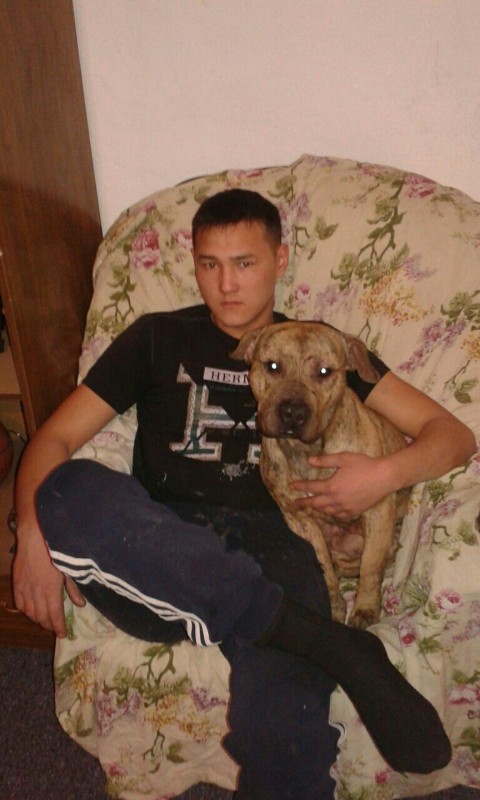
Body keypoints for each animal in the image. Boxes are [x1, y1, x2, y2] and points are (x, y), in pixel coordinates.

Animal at [231, 321, 410, 629]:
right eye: (273, 366)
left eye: (324, 372)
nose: (292, 413)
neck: (306, 450)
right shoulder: (299, 519)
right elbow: (323, 566)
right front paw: (335, 605)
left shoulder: (377, 510)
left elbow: (371, 566)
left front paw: (364, 608)